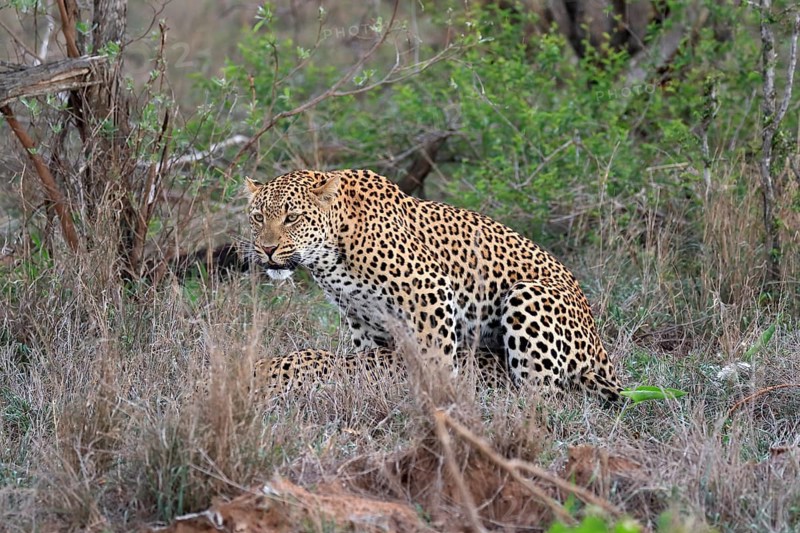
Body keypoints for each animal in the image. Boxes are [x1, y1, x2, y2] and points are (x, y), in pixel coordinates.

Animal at [245, 169, 623, 401]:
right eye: (257, 217)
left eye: (292, 217)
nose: (267, 249)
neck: (328, 258)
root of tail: (603, 355)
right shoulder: (365, 319)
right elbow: (372, 359)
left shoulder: (428, 291)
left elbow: (435, 355)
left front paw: (440, 396)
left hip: (526, 295)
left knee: (547, 396)